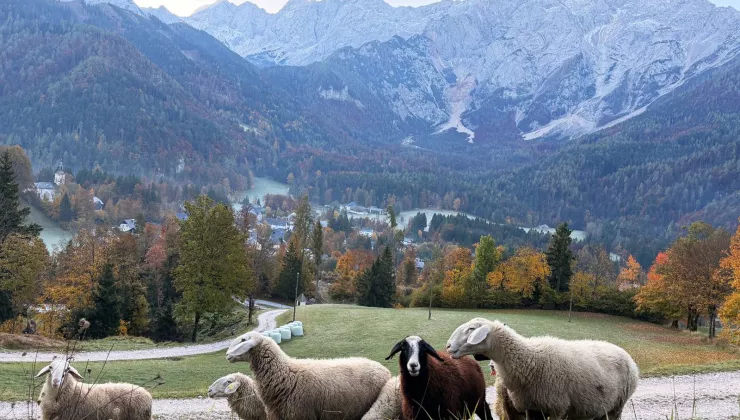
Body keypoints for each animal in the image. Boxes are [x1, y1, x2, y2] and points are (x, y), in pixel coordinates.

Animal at [446, 318, 639, 420]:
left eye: (471, 329)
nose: (448, 346)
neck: (528, 358)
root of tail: (629, 358)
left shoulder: (557, 408)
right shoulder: (530, 409)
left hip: (617, 407)